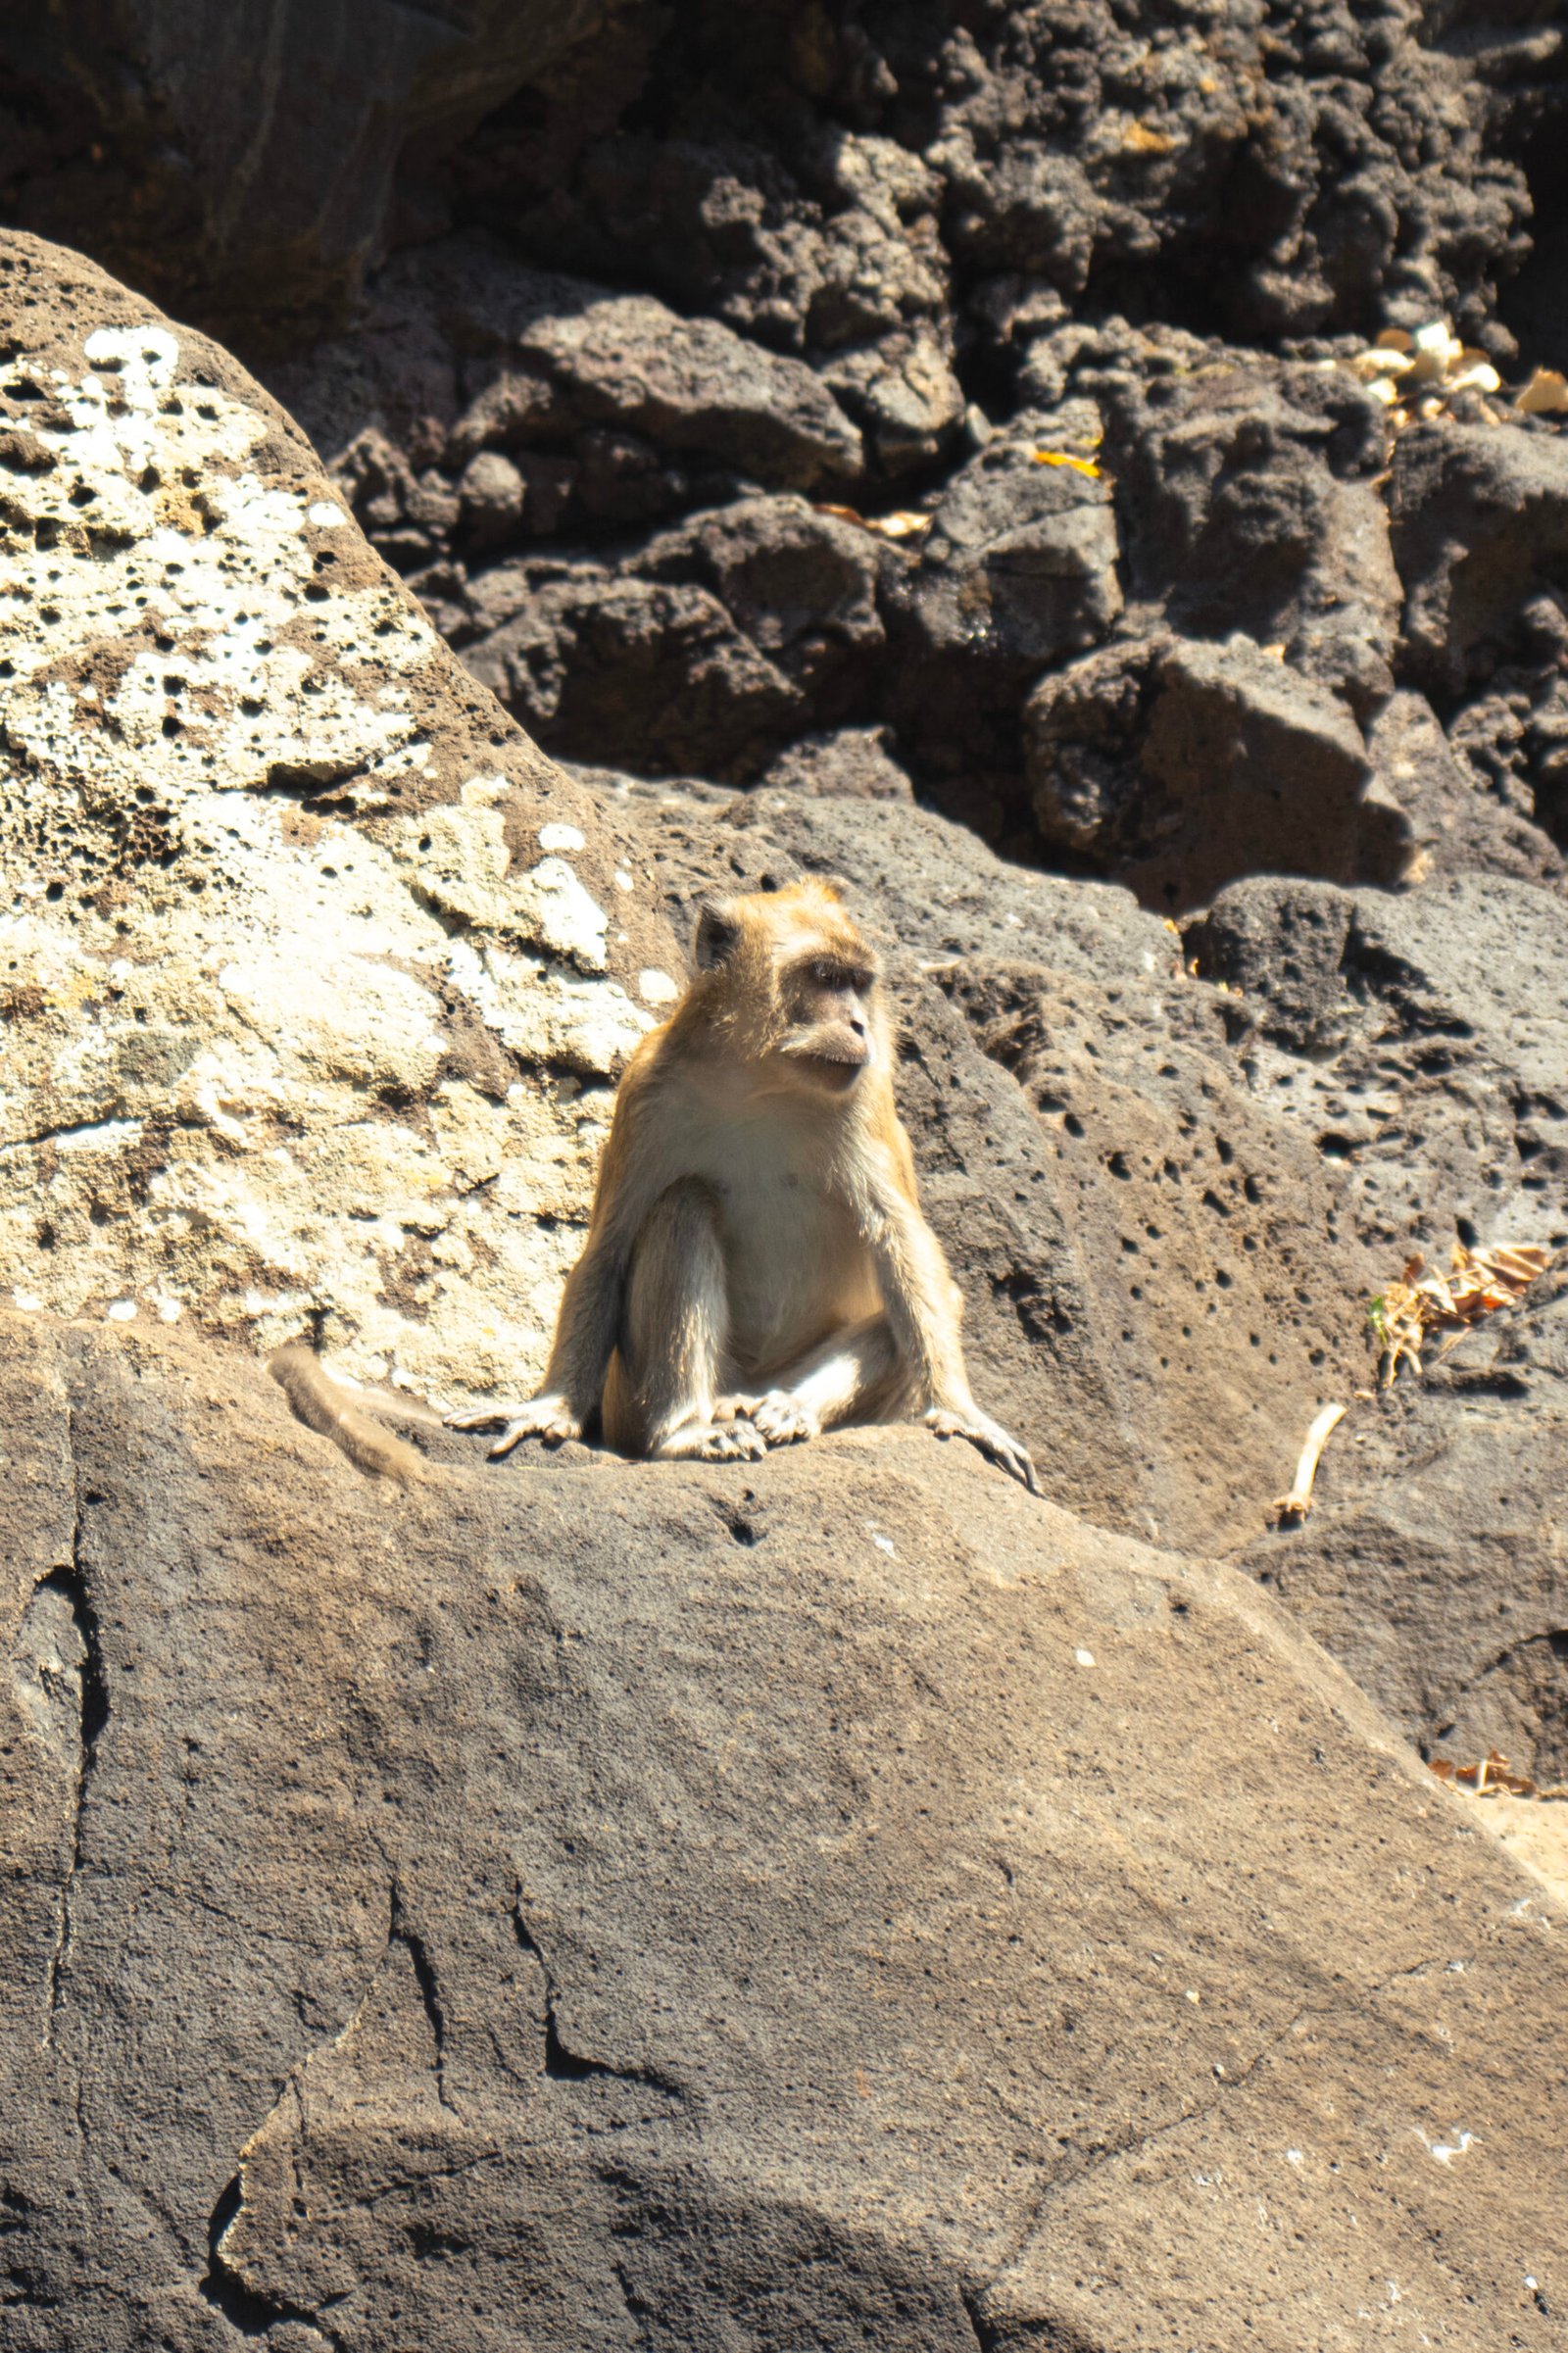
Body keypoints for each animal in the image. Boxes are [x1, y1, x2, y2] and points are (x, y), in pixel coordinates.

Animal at [447, 878, 1039, 1492]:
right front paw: (553, 1406)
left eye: (858, 983)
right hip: (631, 1395)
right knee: (684, 1204)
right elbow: (606, 1250)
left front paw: (960, 1412)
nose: (859, 1025)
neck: (759, 1084)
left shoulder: (867, 1098)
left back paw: (788, 1409)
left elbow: (901, 1242)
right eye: (825, 977)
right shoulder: (645, 1090)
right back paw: (687, 1430)